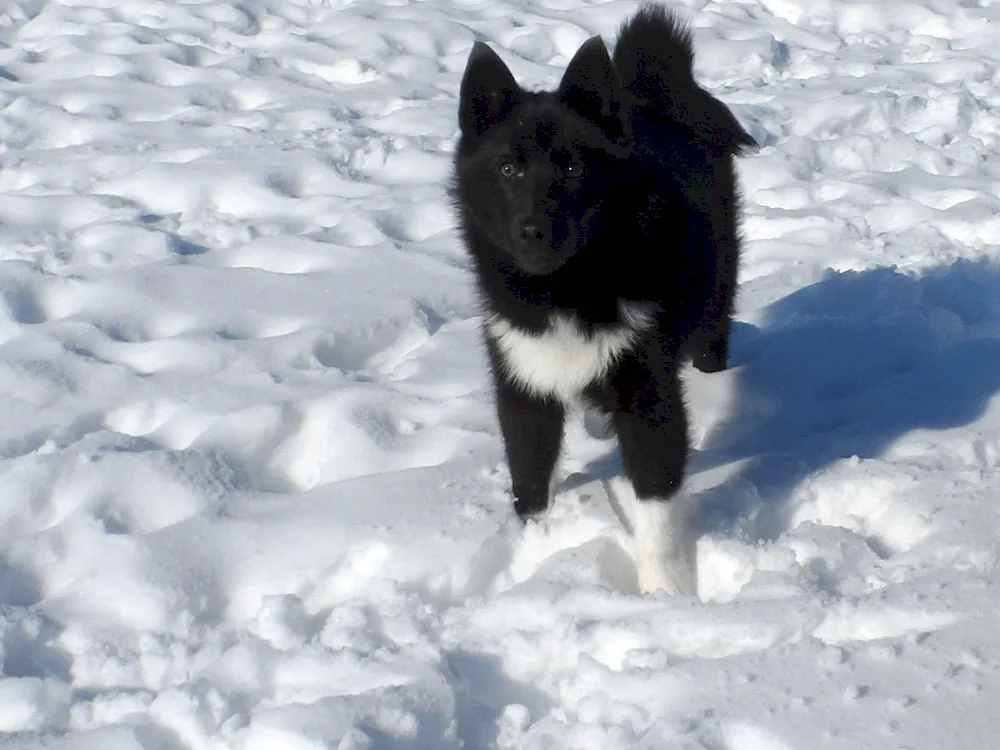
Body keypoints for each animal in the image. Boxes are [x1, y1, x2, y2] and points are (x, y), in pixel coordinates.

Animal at [450, 4, 752, 592]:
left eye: (572, 167)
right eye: (507, 168)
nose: (534, 231)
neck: (565, 290)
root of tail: (662, 95)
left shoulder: (648, 390)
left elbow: (657, 505)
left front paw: (665, 595)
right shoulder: (522, 384)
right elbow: (530, 480)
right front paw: (535, 548)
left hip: (711, 306)